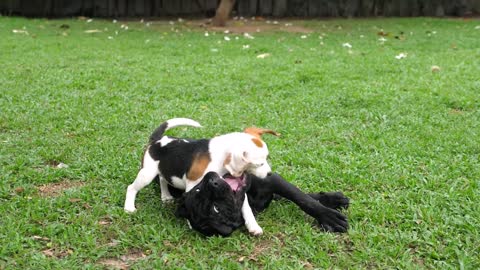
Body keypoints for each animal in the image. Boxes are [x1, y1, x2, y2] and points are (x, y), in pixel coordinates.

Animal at [124, 117, 280, 235]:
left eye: (267, 157)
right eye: (259, 164)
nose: (269, 174)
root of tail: (157, 140)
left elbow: (246, 208)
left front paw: (253, 226)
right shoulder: (193, 183)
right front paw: (190, 222)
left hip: (165, 169)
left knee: (163, 178)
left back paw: (166, 196)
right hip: (147, 174)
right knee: (131, 187)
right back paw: (129, 207)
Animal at [174, 172, 346, 235]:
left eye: (197, 190)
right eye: (215, 209)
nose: (211, 181)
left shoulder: (271, 179)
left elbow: (302, 198)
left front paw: (328, 215)